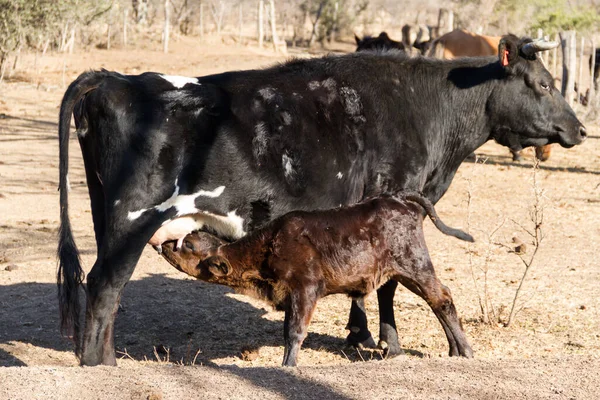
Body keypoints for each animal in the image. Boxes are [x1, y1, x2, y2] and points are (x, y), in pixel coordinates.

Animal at [158, 194, 474, 366]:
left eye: (189, 245)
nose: (165, 243)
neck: (271, 243)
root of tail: (399, 199)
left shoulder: (306, 289)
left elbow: (295, 332)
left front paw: (288, 366)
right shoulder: (290, 296)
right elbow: (288, 330)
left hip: (414, 266)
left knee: (442, 298)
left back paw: (465, 351)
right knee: (438, 299)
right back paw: (454, 349)